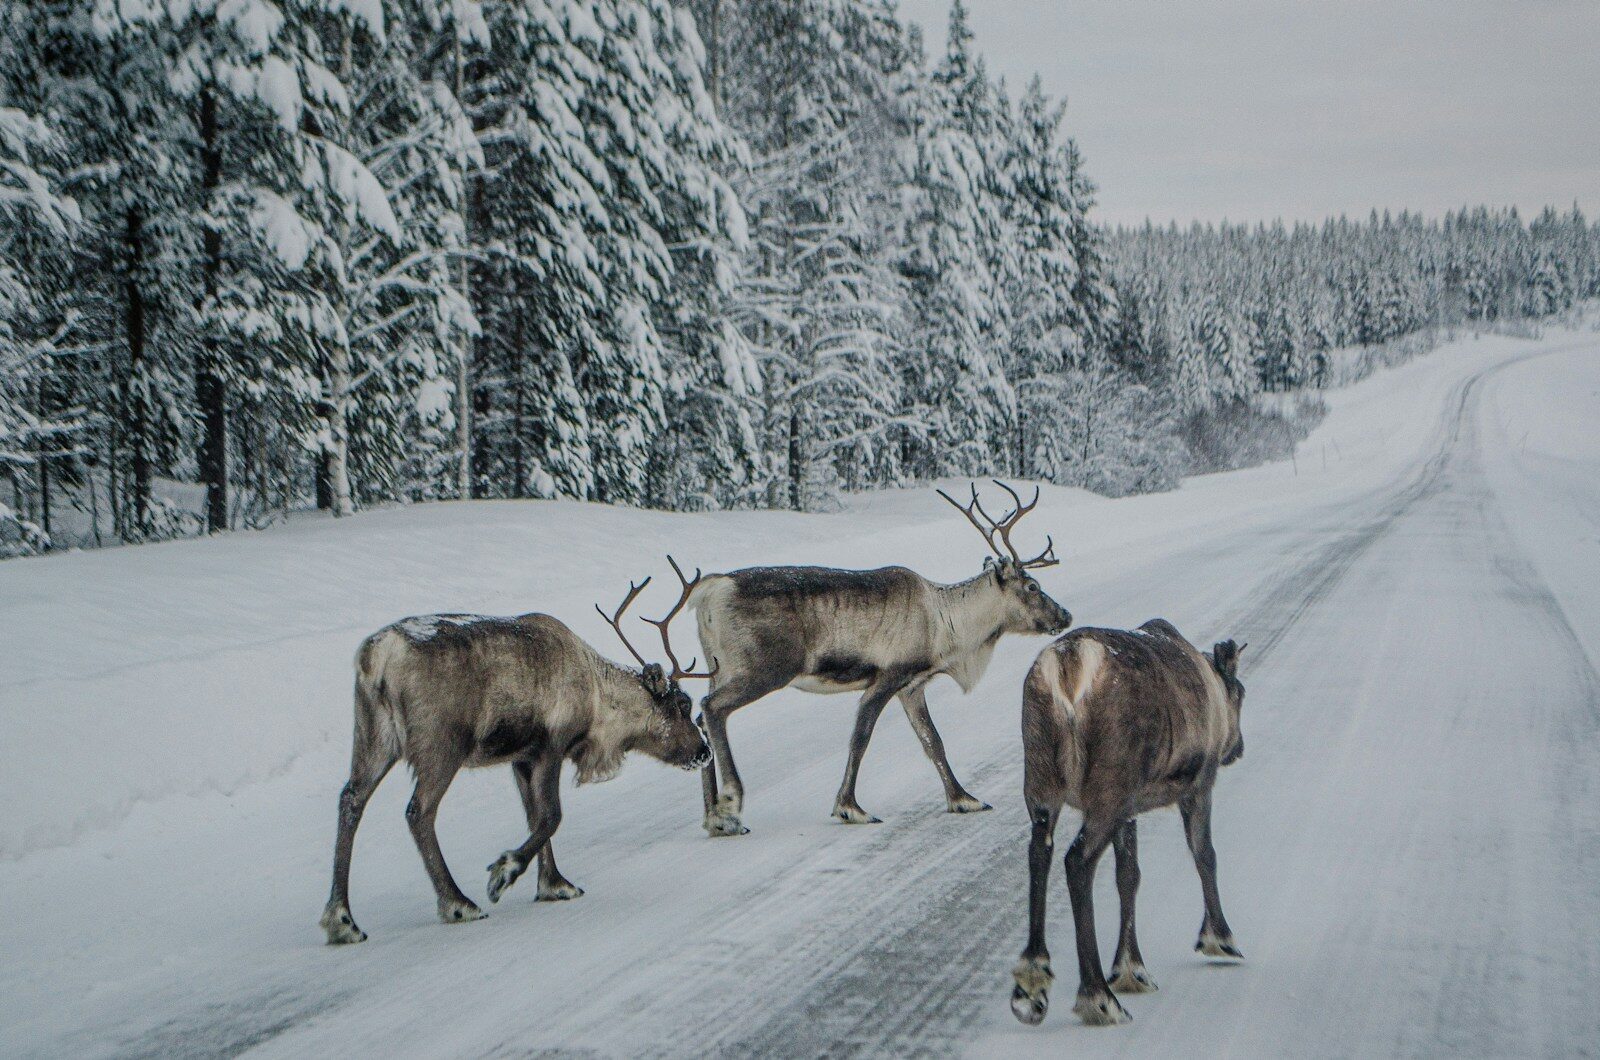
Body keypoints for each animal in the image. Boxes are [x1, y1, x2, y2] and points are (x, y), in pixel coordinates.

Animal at [319, 574, 713, 945]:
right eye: (682, 705)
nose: (704, 752)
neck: (597, 702)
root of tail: (376, 658)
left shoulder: (520, 759)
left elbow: (535, 816)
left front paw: (554, 884)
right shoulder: (550, 745)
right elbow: (552, 815)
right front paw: (504, 872)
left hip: (374, 735)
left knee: (351, 799)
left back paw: (342, 921)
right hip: (440, 744)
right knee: (419, 811)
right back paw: (458, 903)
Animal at [686, 481, 1073, 837]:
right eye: (1033, 587)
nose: (1066, 615)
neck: (946, 627)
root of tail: (709, 591)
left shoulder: (912, 687)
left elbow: (933, 741)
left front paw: (965, 799)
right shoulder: (887, 677)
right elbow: (861, 737)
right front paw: (850, 808)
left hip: (719, 668)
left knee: (701, 716)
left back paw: (712, 817)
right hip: (763, 669)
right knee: (712, 707)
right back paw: (730, 807)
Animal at [1009, 622, 1247, 1027]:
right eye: (1242, 694)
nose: (1238, 748)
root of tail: (1068, 665)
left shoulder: (1130, 809)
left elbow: (1129, 877)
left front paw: (1131, 970)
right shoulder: (1198, 784)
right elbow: (1205, 854)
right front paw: (1220, 939)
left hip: (1042, 781)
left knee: (1039, 853)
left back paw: (1033, 980)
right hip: (1108, 788)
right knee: (1077, 861)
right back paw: (1098, 997)